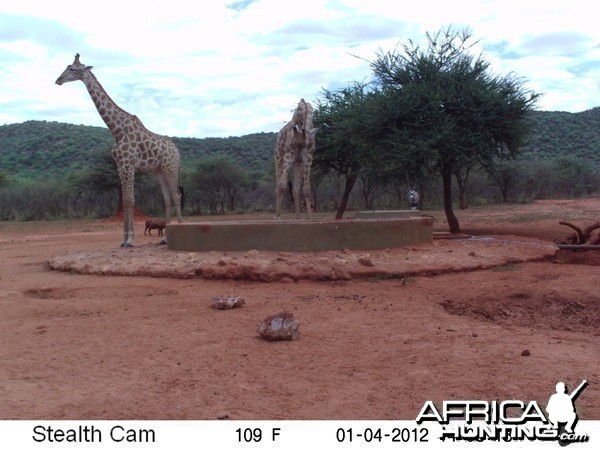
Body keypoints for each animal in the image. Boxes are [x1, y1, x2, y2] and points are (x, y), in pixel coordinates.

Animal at [56, 55, 183, 250]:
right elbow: (125, 201)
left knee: (176, 196)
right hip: (159, 170)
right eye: (67, 66)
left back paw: (179, 232)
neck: (117, 130)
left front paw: (130, 240)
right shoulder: (120, 166)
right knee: (167, 198)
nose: (58, 80)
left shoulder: (128, 164)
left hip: (170, 168)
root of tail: (176, 151)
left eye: (72, 69)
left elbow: (129, 200)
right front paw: (123, 240)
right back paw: (164, 239)